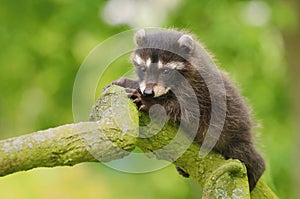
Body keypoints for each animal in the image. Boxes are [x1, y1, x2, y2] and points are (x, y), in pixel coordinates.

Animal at [110, 28, 264, 191]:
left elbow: (182, 108)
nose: (148, 93)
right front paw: (130, 83)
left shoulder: (200, 91)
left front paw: (151, 102)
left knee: (246, 154)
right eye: (143, 69)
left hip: (231, 132)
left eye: (165, 71)